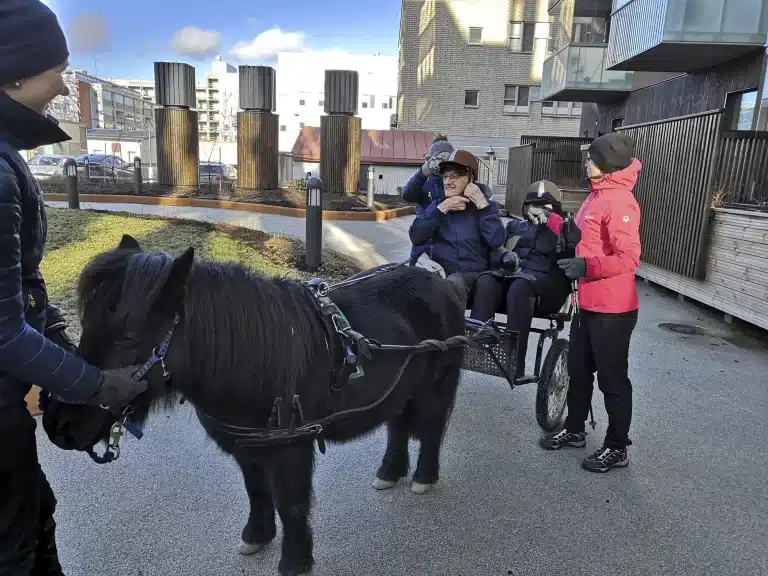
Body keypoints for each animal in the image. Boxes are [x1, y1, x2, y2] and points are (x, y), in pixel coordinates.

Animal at [45, 235, 464, 576]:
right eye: (84, 321)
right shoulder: (247, 446)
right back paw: (390, 471)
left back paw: (424, 477)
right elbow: (257, 491)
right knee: (398, 424)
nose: (60, 424)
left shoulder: (293, 447)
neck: (255, 358)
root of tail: (443, 283)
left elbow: (291, 504)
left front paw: (295, 560)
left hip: (437, 385)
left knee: (431, 428)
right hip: (401, 388)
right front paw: (257, 536)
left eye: (129, 335)